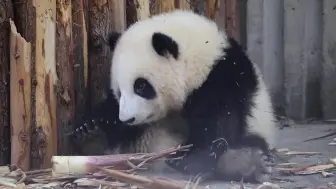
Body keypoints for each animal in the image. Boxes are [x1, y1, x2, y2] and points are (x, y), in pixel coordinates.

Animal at [107, 9, 278, 182]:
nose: (127, 119)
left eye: (141, 86)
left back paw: (249, 164)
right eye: (119, 91)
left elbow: (217, 130)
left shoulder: (223, 81)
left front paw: (188, 160)